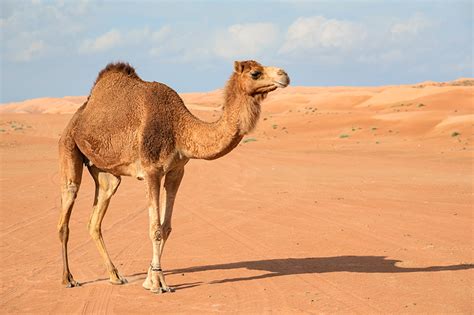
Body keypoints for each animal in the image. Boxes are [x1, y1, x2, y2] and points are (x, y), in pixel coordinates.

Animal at [58, 59, 288, 294]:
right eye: (255, 73)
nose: (284, 75)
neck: (179, 128)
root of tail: (79, 115)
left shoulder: (177, 171)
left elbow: (166, 227)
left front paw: (150, 278)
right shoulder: (151, 170)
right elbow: (155, 229)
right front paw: (158, 283)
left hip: (106, 174)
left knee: (95, 218)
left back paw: (115, 276)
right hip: (68, 147)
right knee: (67, 209)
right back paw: (68, 279)